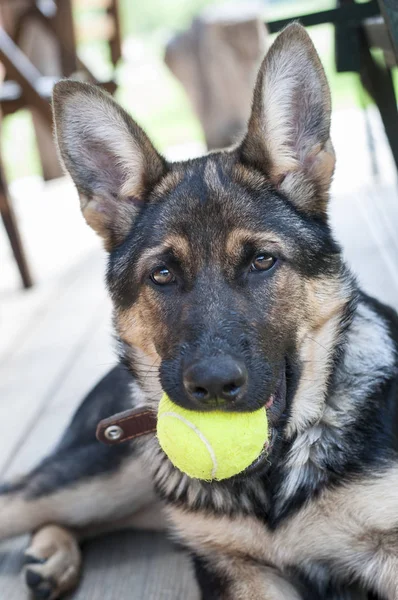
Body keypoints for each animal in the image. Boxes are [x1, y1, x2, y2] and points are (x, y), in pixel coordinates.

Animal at [0, 24, 398, 600]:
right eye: (162, 274)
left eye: (261, 261)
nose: (211, 386)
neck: (270, 483)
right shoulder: (234, 568)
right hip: (101, 476)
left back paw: (51, 556)